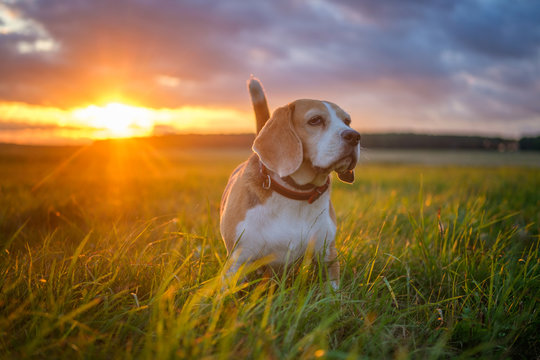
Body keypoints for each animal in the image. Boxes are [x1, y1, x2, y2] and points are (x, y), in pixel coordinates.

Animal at [217, 79, 360, 290]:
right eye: (315, 120)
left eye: (347, 121)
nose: (355, 136)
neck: (296, 192)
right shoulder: (237, 261)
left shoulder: (328, 255)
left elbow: (332, 292)